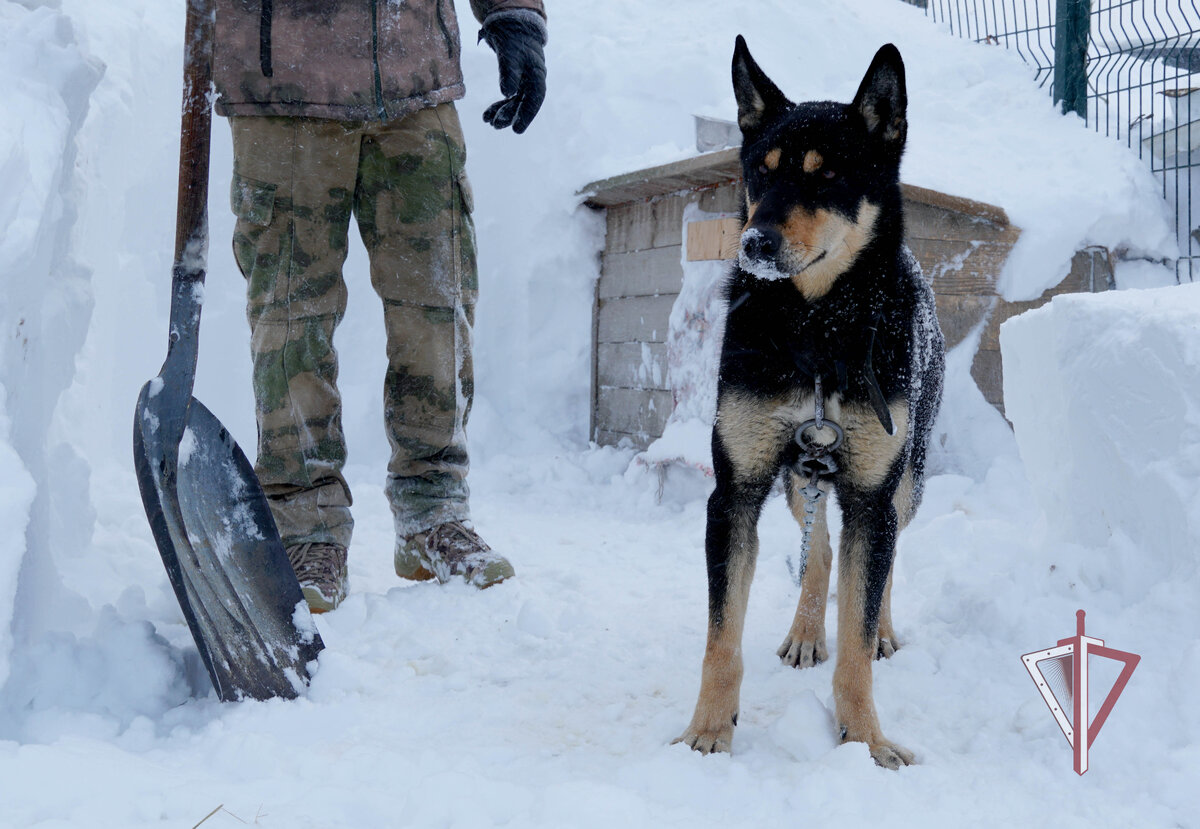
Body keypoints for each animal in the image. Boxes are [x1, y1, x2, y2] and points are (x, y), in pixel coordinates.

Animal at [676, 35, 945, 767]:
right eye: (760, 173)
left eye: (827, 179)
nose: (755, 242)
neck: (818, 330)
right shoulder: (736, 490)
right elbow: (720, 638)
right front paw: (707, 732)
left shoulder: (871, 493)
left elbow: (857, 626)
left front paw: (866, 741)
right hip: (802, 475)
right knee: (818, 551)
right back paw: (804, 630)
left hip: (905, 477)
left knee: (881, 563)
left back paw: (882, 631)